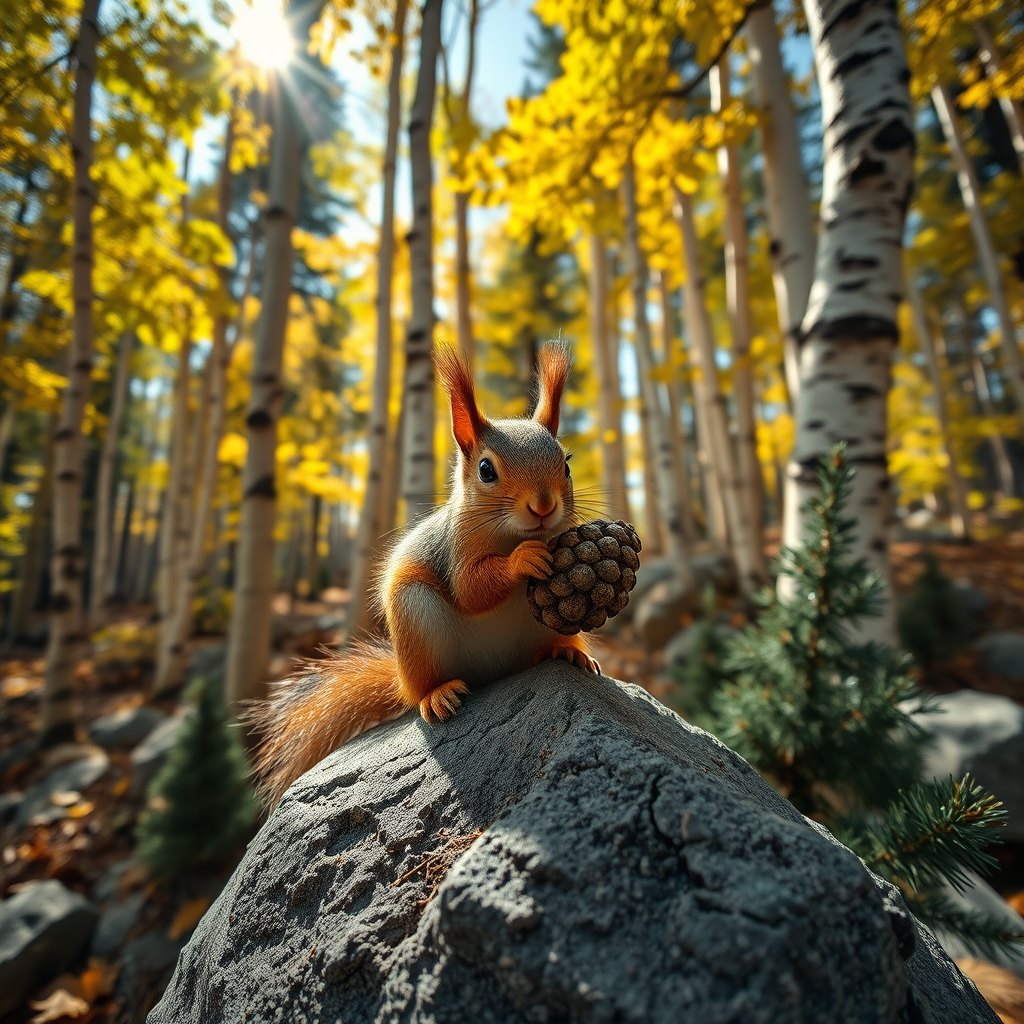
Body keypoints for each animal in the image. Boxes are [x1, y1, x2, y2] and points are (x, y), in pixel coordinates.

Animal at [247, 342, 600, 805]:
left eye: (567, 463)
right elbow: (470, 590)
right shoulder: (453, 550)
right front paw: (523, 561)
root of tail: (495, 672)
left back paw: (567, 651)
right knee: (423, 686)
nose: (544, 506)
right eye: (486, 470)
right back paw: (437, 695)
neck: (513, 533)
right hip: (416, 616)